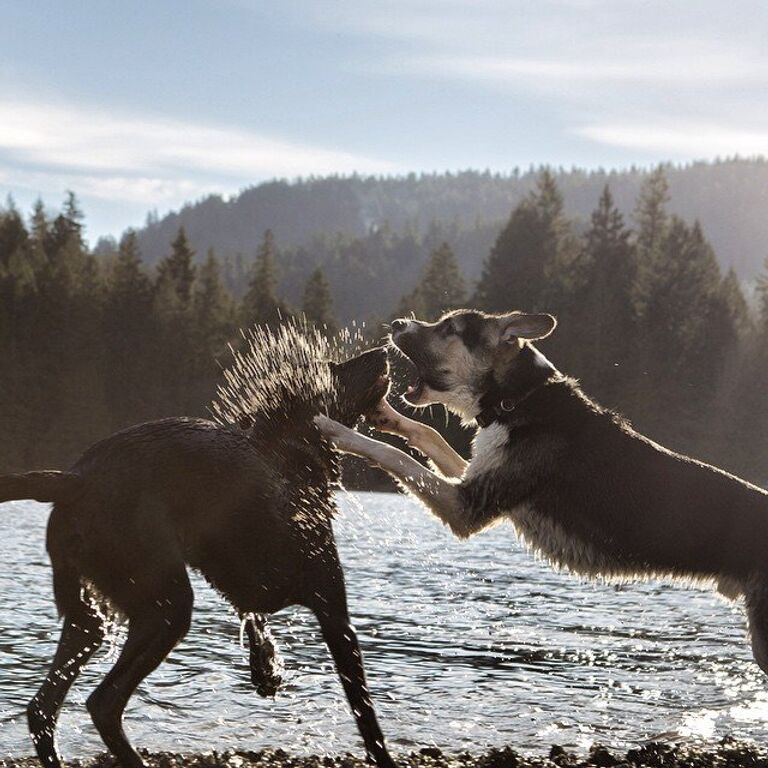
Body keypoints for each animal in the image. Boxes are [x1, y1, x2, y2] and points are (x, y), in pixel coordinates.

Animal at [0, 346, 396, 768]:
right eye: (332, 372)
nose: (383, 349)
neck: (291, 457)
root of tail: (74, 479)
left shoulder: (233, 576)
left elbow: (252, 615)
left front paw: (266, 667)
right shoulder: (333, 612)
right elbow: (367, 717)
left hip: (90, 614)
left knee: (43, 707)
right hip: (165, 606)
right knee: (102, 703)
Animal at [314, 308, 768, 680]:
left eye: (449, 329)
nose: (396, 324)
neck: (515, 399)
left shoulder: (465, 506)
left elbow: (393, 456)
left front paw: (338, 431)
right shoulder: (475, 478)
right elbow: (425, 435)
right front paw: (385, 414)